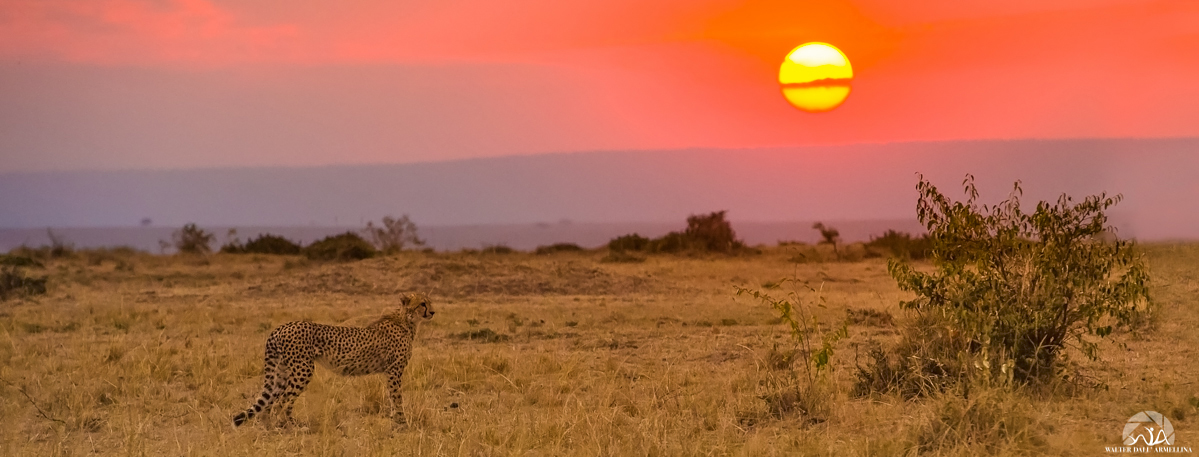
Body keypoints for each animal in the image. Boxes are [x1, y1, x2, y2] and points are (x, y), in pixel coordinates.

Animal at [232, 293, 435, 427]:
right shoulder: (394, 370)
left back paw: (271, 426)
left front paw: (396, 420)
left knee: (271, 401)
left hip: (283, 371)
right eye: (422, 304)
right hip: (302, 370)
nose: (433, 312)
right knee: (283, 401)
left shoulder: (390, 371)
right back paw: (286, 427)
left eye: (430, 302)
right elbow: (397, 397)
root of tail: (282, 327)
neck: (407, 321)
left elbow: (393, 397)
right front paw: (402, 422)